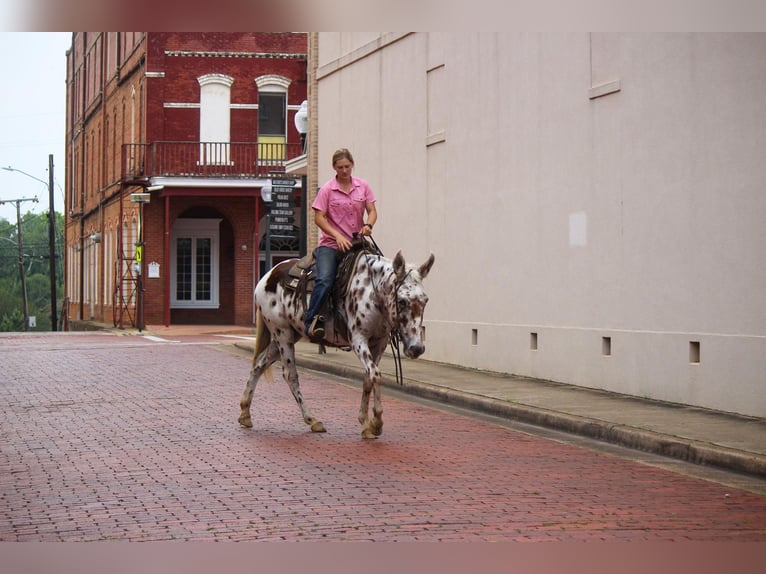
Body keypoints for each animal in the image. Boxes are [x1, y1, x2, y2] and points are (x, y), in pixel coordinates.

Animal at [237, 248, 436, 440]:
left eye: (425, 300)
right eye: (402, 301)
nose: (417, 348)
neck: (371, 293)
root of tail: (267, 276)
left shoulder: (379, 343)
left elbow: (368, 378)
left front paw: (365, 424)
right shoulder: (358, 340)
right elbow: (376, 375)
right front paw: (376, 423)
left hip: (288, 336)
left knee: (259, 364)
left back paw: (245, 412)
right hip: (282, 333)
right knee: (290, 375)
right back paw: (312, 419)